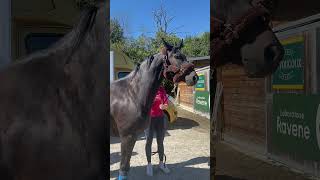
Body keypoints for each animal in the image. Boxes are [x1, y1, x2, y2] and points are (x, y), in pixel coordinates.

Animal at [111, 39, 199, 179]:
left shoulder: (133, 136)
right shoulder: (127, 137)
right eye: (177, 56)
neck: (131, 94)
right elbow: (123, 168)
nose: (194, 77)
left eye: (185, 56)